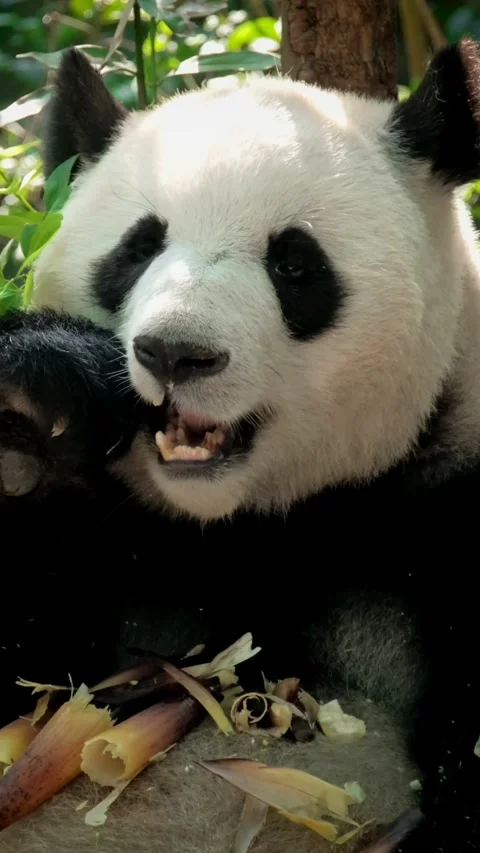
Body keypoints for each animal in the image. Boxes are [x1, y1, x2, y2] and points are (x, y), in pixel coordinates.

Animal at [0, 37, 480, 853]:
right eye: (138, 248)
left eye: (293, 263)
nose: (175, 353)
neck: (241, 522)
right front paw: (37, 406)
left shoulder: (442, 503)